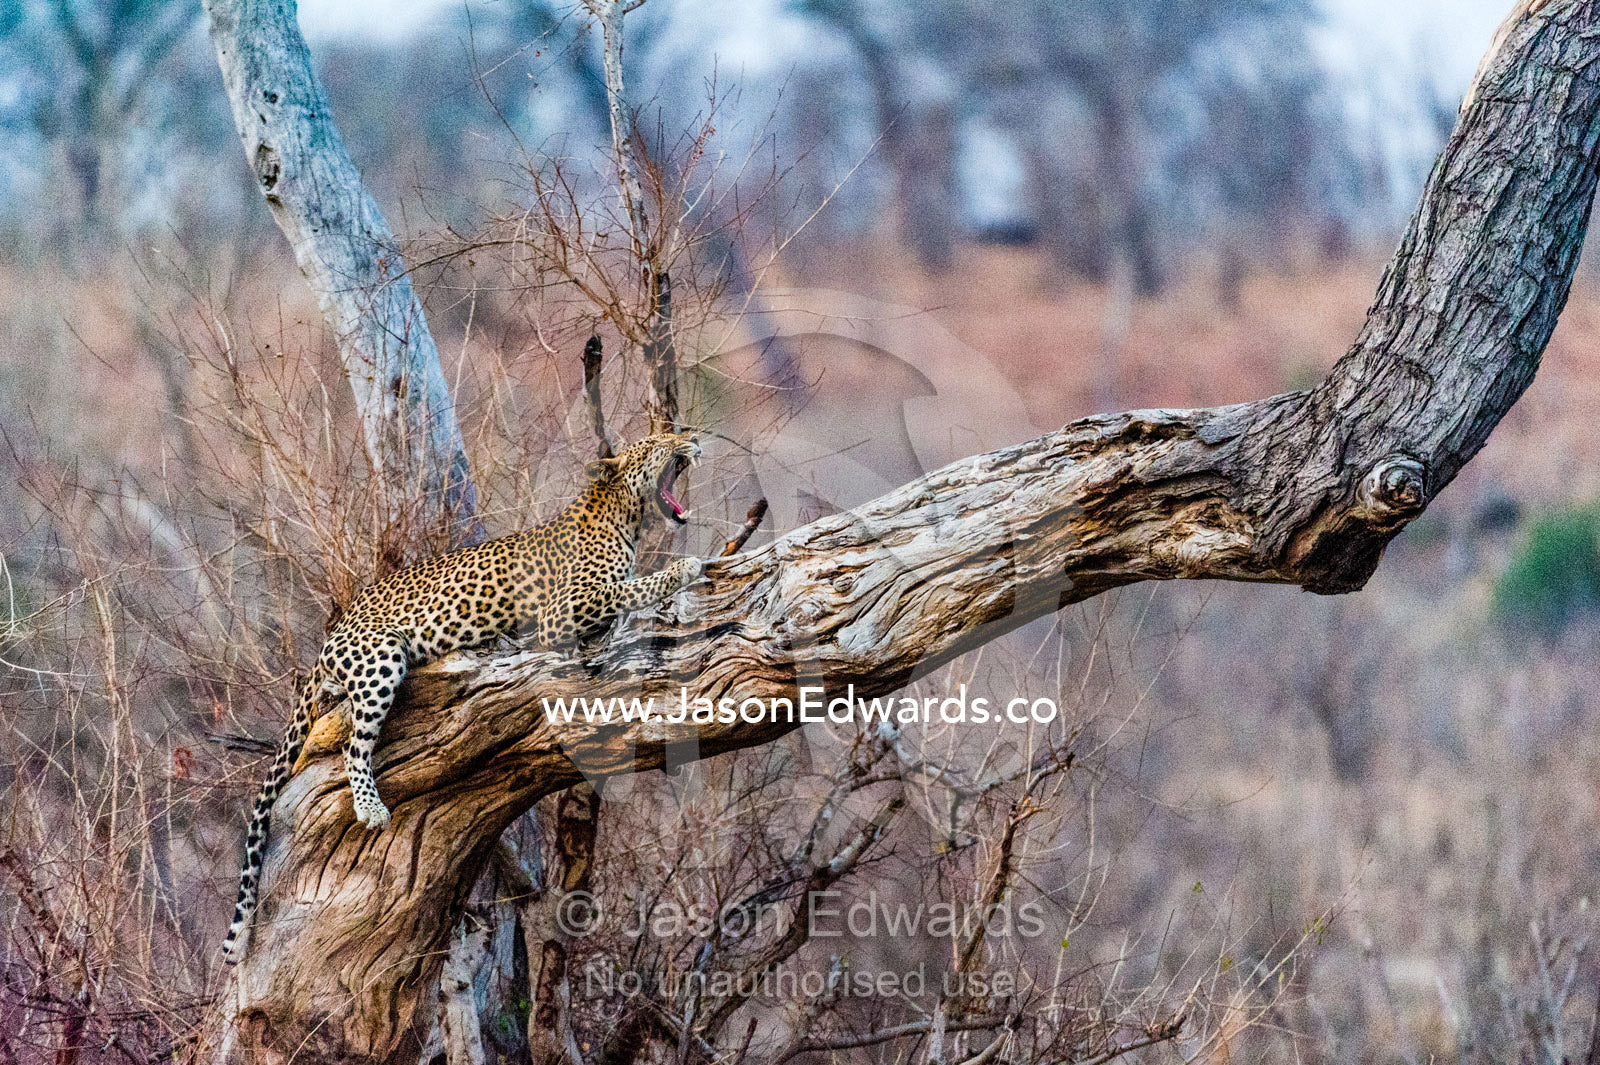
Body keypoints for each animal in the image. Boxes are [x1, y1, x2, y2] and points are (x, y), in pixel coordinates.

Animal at [221, 431, 704, 965]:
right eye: (659, 442)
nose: (692, 438)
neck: (625, 514)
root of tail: (331, 636)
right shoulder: (562, 610)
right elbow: (630, 587)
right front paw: (684, 567)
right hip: (380, 657)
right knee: (352, 743)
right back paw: (370, 808)